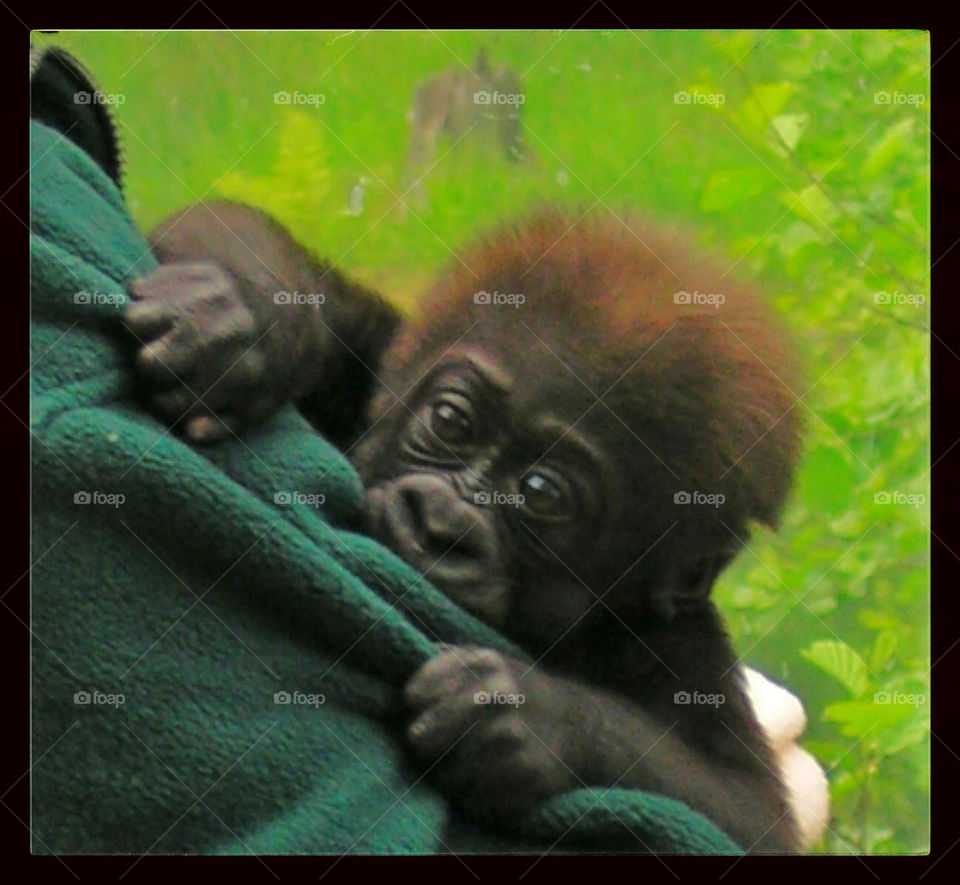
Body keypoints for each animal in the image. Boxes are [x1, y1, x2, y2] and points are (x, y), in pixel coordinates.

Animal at [125, 198, 802, 853]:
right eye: (451, 422)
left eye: (541, 494)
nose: (439, 524)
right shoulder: (377, 363)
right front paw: (245, 316)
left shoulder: (682, 644)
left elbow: (743, 820)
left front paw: (531, 718)